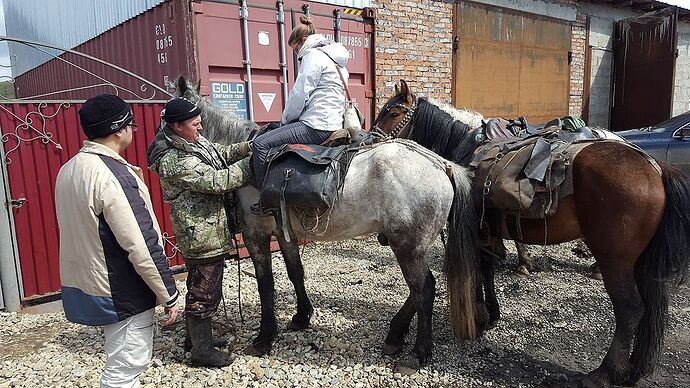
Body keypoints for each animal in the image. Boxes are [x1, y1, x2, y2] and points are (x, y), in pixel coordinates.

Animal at [374, 80, 690, 386]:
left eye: (394, 113)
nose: (372, 140)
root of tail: (656, 168)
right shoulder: (486, 229)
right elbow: (485, 268)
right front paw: (489, 313)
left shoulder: (473, 228)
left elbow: (466, 271)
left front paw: (474, 316)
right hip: (641, 262)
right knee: (648, 309)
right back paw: (635, 369)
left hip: (615, 259)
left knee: (630, 309)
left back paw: (604, 373)